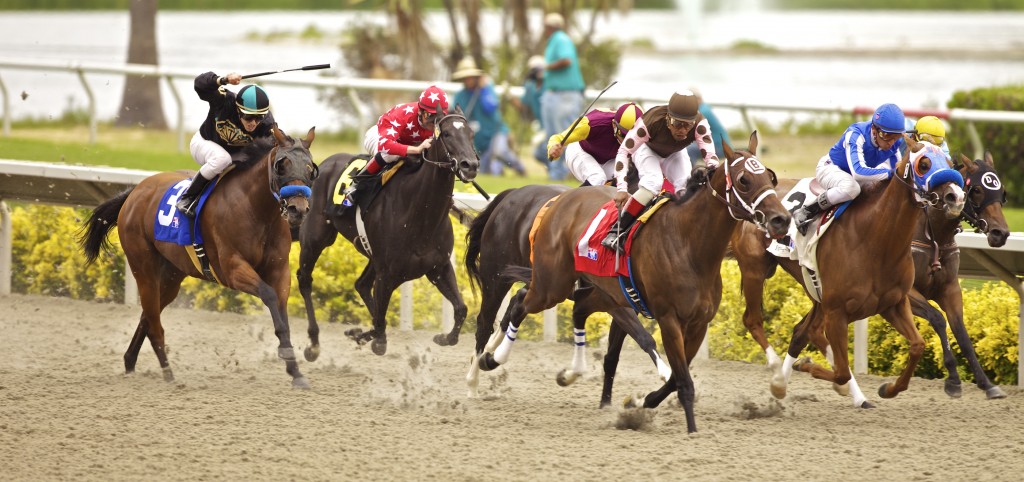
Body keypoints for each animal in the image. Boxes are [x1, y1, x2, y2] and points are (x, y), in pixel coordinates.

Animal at [79, 126, 319, 388]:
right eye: (281, 165)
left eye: (310, 168)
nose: (298, 209)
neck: (257, 211)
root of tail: (136, 191)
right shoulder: (232, 268)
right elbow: (268, 294)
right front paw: (289, 358)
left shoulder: (279, 270)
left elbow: (281, 312)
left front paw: (295, 371)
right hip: (143, 267)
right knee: (153, 322)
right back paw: (168, 373)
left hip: (172, 275)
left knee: (148, 315)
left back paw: (130, 362)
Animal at [296, 108, 479, 357]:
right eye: (447, 134)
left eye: (471, 134)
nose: (470, 165)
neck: (420, 212)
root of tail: (323, 164)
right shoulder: (387, 274)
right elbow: (380, 327)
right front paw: (368, 336)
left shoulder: (438, 267)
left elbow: (461, 309)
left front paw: (443, 337)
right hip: (315, 237)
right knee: (305, 278)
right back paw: (313, 344)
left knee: (361, 285)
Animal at [462, 184, 671, 405]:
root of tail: (513, 192)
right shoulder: (612, 300)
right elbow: (642, 337)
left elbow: (622, 348)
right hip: (497, 277)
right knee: (485, 323)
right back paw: (473, 381)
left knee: (514, 303)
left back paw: (489, 353)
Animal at [730, 150, 1005, 402]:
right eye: (976, 190)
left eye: (1001, 193)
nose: (1000, 233)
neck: (930, 232)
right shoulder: (908, 294)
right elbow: (938, 319)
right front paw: (954, 380)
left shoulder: (947, 288)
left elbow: (961, 332)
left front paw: (986, 384)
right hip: (758, 270)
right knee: (766, 322)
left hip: (814, 285)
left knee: (804, 332)